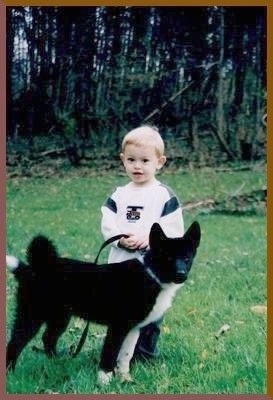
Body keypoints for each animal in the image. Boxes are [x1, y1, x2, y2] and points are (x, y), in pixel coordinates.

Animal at [5, 222, 199, 384]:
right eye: (168, 258)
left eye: (187, 259)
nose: (181, 275)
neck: (150, 274)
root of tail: (31, 269)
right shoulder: (117, 327)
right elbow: (109, 354)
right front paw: (104, 382)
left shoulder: (133, 328)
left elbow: (125, 355)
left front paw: (124, 379)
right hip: (32, 316)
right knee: (15, 343)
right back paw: (10, 374)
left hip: (60, 317)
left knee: (48, 338)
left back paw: (57, 363)